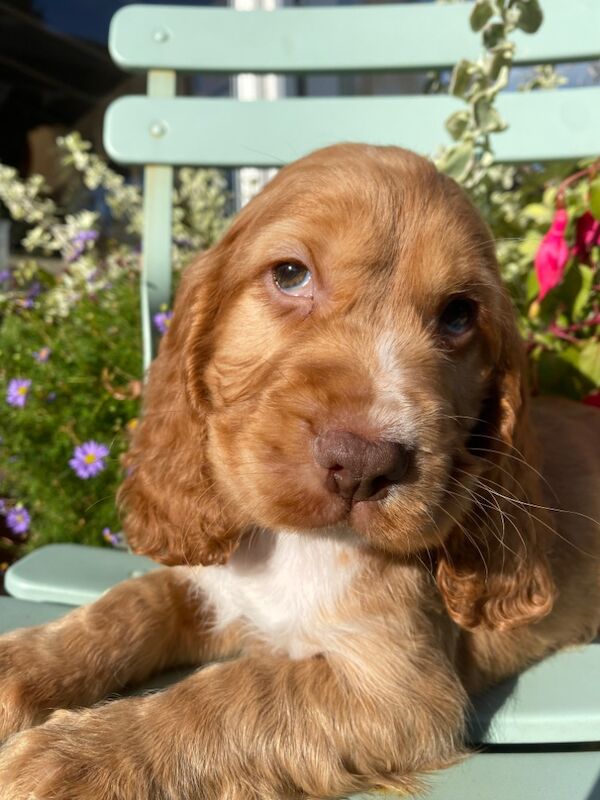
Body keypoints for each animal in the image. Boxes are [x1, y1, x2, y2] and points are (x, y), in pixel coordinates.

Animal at [1, 145, 600, 800]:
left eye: (460, 315)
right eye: (291, 274)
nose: (363, 464)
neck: (294, 544)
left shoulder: (398, 690)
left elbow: (230, 697)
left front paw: (74, 760)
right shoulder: (213, 585)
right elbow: (129, 605)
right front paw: (18, 665)